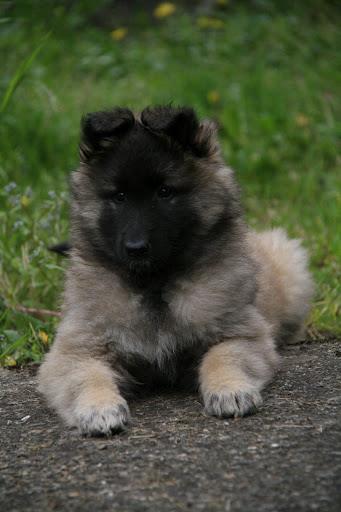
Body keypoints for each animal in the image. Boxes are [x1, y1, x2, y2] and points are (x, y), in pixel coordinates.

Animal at [37, 106, 314, 434]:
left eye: (165, 192)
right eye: (119, 196)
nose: (136, 247)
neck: (154, 284)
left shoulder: (241, 334)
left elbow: (221, 357)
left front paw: (230, 389)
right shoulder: (76, 349)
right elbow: (87, 375)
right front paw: (98, 408)